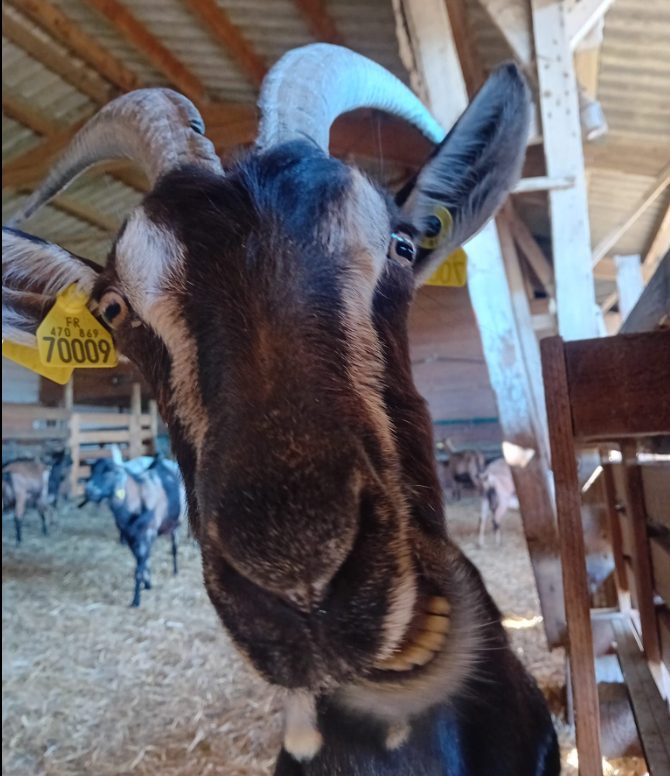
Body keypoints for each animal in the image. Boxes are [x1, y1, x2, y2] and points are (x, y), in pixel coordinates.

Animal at [84, 456, 185, 607]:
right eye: (92, 471)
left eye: (109, 472)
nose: (88, 491)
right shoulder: (130, 536)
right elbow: (143, 562)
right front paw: (147, 584)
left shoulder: (147, 533)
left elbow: (138, 568)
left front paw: (136, 600)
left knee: (174, 547)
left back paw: (176, 570)